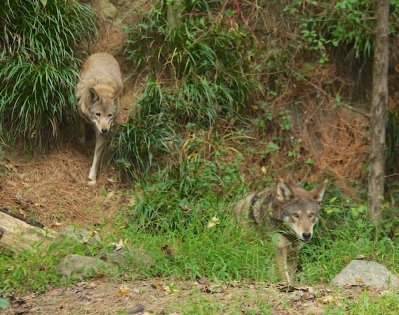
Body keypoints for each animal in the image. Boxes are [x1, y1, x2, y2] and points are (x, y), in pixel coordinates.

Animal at [76, 51, 122, 185]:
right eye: (98, 114)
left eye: (109, 115)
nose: (104, 130)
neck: (102, 85)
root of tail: (103, 53)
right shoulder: (79, 112)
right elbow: (80, 125)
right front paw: (81, 140)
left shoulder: (102, 135)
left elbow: (97, 157)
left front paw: (92, 177)